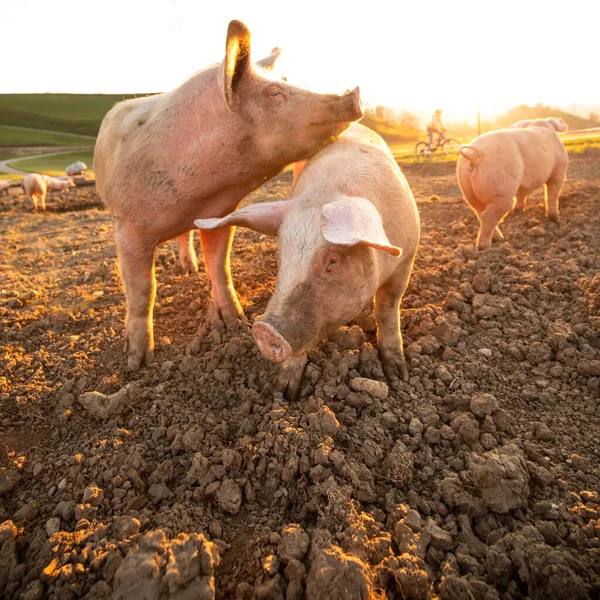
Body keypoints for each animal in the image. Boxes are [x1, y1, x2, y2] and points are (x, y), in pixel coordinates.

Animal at [94, 19, 364, 370]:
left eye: (284, 81)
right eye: (275, 92)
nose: (355, 93)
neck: (197, 200)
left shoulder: (220, 214)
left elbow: (220, 268)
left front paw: (237, 324)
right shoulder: (127, 226)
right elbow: (142, 290)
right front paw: (137, 361)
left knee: (186, 238)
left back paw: (190, 269)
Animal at [195, 122, 420, 400]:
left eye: (333, 260)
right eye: (281, 255)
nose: (264, 330)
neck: (330, 190)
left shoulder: (407, 257)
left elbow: (387, 310)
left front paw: (398, 376)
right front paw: (284, 392)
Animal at [458, 116, 568, 250]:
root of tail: (476, 155)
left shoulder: (522, 184)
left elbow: (521, 195)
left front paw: (519, 211)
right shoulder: (559, 170)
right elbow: (553, 194)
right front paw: (555, 219)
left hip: (468, 192)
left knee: (480, 213)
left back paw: (499, 239)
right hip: (501, 191)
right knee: (487, 216)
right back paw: (487, 247)